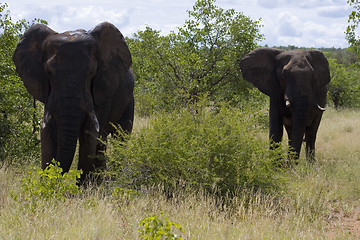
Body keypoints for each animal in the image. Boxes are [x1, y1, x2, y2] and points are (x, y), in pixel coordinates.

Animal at [12, 22, 134, 180]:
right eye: (49, 72)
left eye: (91, 72)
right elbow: (47, 132)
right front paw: (46, 183)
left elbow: (89, 133)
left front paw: (84, 185)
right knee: (103, 141)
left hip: (129, 99)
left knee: (120, 137)